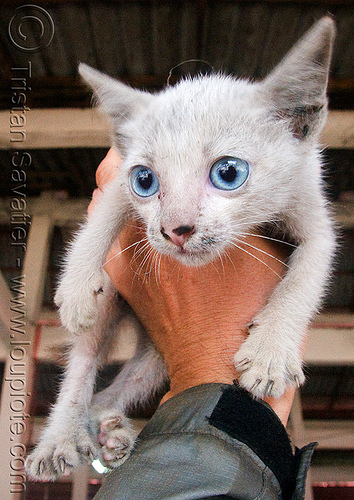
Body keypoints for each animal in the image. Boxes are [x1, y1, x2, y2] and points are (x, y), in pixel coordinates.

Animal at [26, 17, 336, 480]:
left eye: (228, 173)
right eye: (145, 180)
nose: (175, 229)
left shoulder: (312, 208)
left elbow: (306, 276)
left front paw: (270, 352)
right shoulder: (115, 183)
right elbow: (98, 222)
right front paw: (76, 285)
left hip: (156, 356)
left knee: (111, 394)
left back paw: (112, 433)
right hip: (113, 306)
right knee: (83, 366)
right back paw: (61, 438)